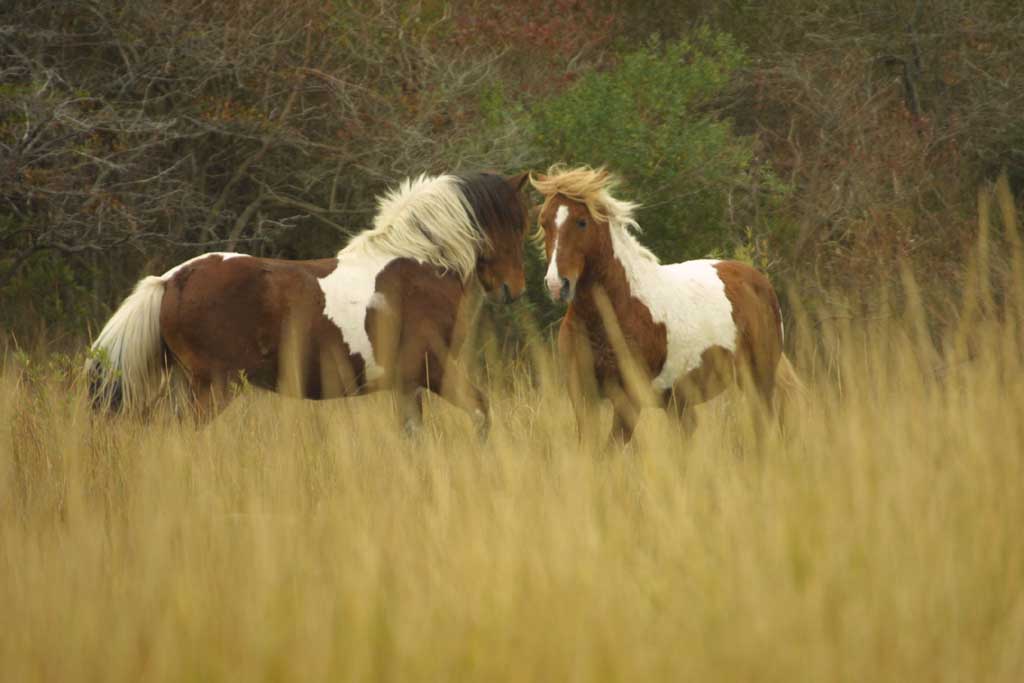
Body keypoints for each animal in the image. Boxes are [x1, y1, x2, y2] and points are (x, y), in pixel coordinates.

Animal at [88, 169, 532, 432]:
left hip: (186, 385)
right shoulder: (433, 369)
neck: (419, 264)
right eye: (516, 223)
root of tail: (171, 280)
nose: (513, 289)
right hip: (212, 388)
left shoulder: (407, 384)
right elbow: (481, 410)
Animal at [532, 163, 802, 444]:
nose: (557, 284)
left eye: (581, 222)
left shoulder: (629, 397)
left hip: (759, 383)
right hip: (680, 402)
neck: (614, 310)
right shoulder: (582, 394)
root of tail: (759, 281)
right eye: (544, 223)